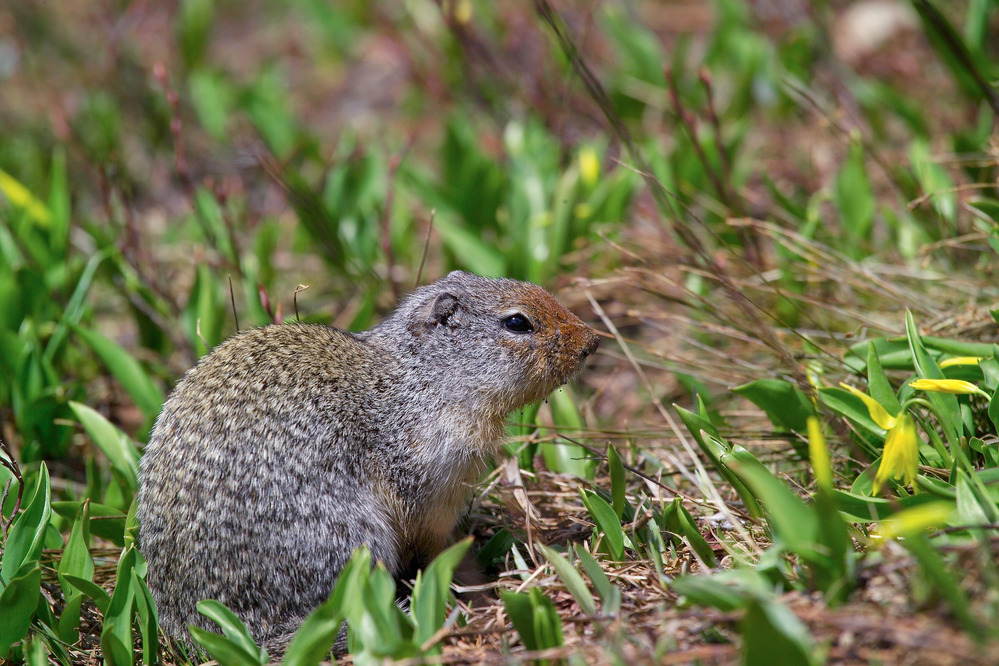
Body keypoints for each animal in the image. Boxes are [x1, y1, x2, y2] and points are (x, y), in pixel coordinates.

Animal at [137, 270, 596, 648]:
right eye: (517, 322)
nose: (591, 341)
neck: (424, 379)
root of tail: (199, 627)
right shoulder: (429, 473)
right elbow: (432, 537)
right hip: (346, 538)